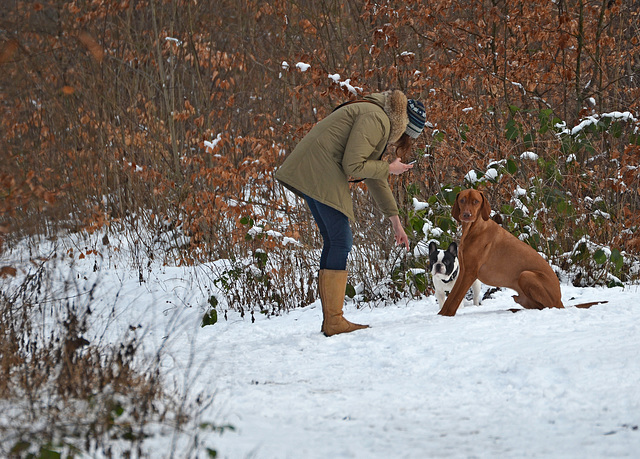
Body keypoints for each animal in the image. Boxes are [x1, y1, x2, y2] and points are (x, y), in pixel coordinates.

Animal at [438, 190, 604, 316]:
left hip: (526, 275)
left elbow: (454, 299)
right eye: (462, 200)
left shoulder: (470, 272)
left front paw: (445, 316)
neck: (474, 229)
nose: (466, 215)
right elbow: (451, 297)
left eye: (476, 201)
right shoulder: (464, 270)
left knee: (549, 307)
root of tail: (560, 299)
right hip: (521, 297)